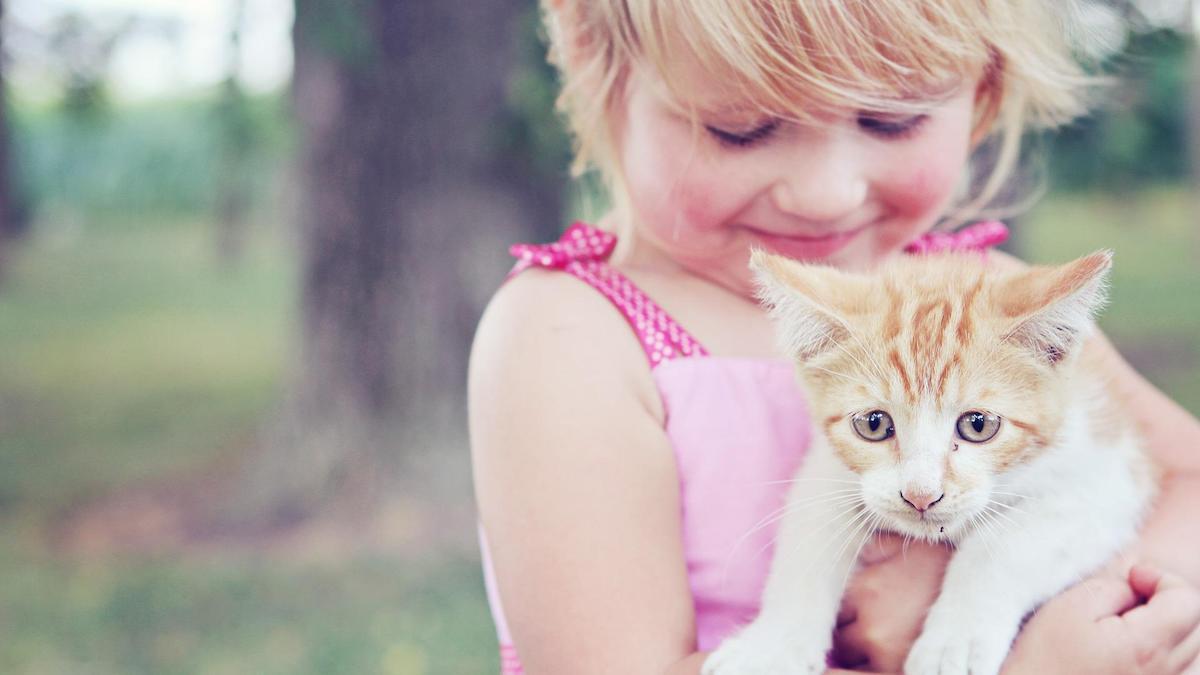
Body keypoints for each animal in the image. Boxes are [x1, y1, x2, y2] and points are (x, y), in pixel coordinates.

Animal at [700, 249, 1152, 667]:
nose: (921, 495)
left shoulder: (1108, 476)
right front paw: (770, 647)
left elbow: (1003, 545)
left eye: (978, 425)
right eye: (873, 424)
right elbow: (809, 539)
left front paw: (954, 644)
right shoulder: (827, 471)